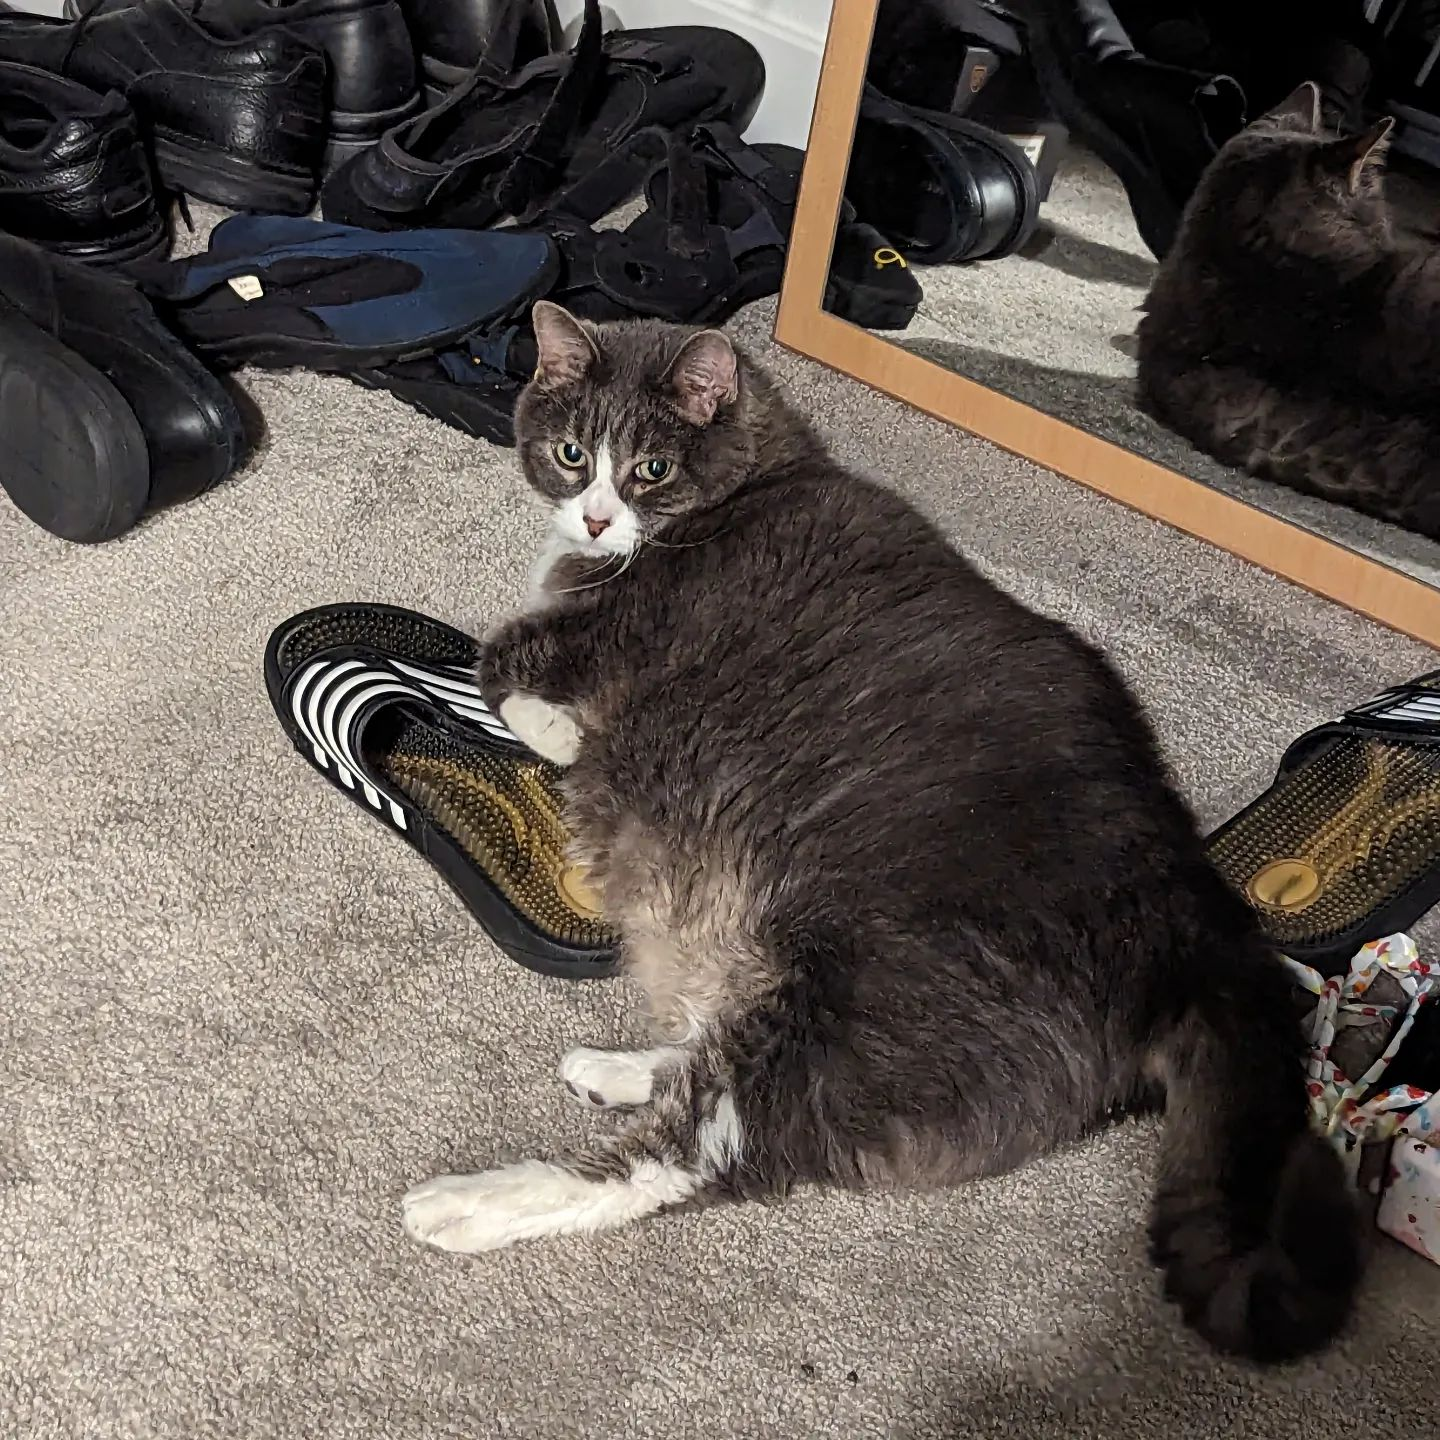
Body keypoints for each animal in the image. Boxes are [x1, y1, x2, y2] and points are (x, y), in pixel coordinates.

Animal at [401, 301, 1360, 1363]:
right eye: (573, 452)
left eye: (650, 468)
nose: (598, 517)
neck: (755, 476)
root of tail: (1202, 926)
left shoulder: (584, 634)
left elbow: (497, 660)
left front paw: (559, 731)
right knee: (715, 1048)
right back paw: (615, 1068)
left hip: (875, 995)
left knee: (701, 1147)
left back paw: (472, 1203)